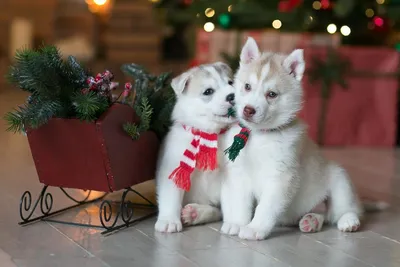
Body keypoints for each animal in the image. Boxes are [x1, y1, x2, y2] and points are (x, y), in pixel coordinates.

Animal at [152, 61, 234, 233]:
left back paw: (196, 213)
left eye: (231, 83)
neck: (209, 134)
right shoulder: (174, 170)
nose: (232, 95)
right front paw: (168, 221)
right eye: (208, 91)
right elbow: (171, 198)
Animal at [220, 38, 364, 242]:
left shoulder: (281, 176)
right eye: (247, 86)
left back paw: (349, 221)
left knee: (346, 209)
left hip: (339, 179)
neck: (260, 135)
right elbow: (240, 203)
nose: (248, 110)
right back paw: (311, 220)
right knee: (323, 215)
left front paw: (255, 228)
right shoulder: (238, 174)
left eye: (272, 94)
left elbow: (266, 207)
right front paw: (237, 223)